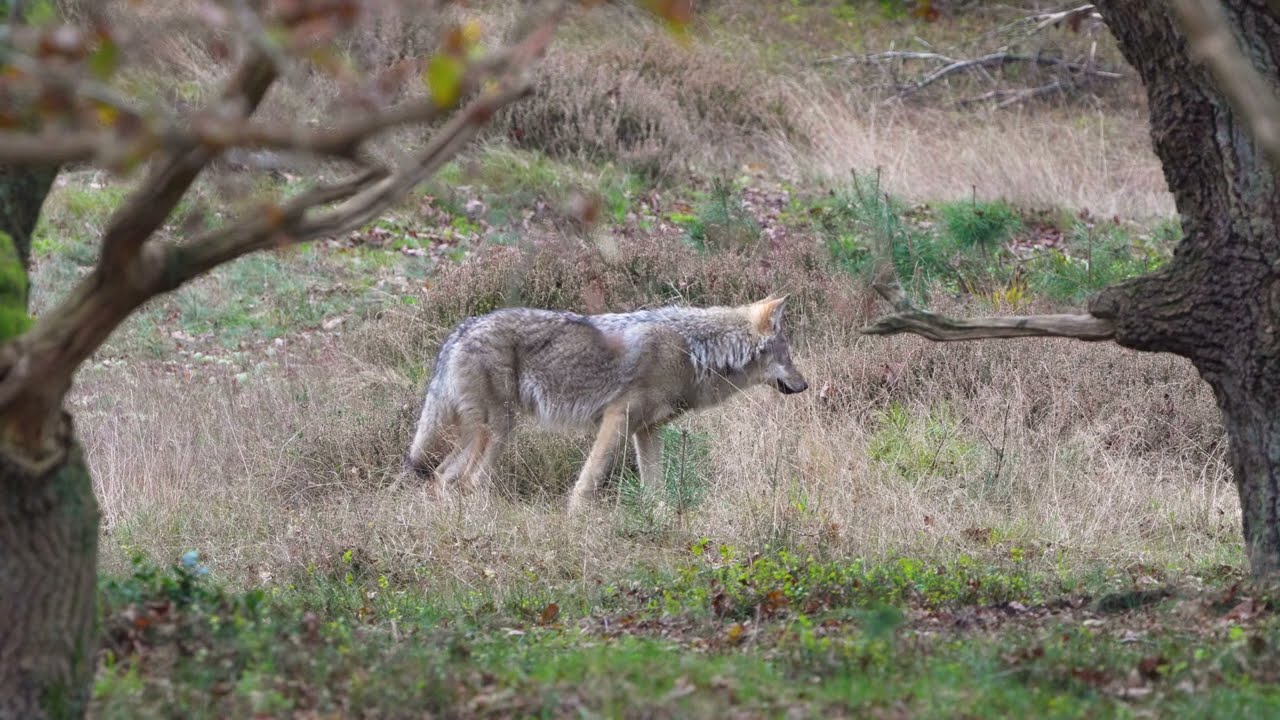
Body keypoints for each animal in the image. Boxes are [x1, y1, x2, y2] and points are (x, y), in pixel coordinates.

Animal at [404, 296, 809, 512]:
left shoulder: (647, 430)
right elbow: (589, 480)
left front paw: (660, 515)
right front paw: (576, 519)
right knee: (470, 480)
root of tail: (459, 332)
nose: (805, 385)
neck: (694, 350)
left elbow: (653, 485)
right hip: (500, 430)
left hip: (481, 434)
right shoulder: (617, 419)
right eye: (788, 355)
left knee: (441, 477)